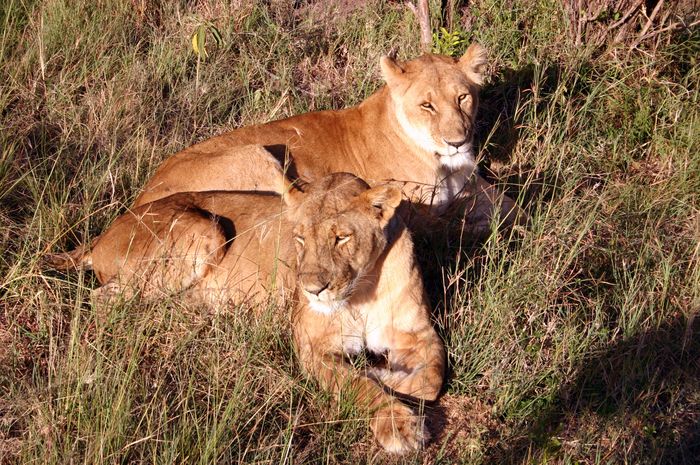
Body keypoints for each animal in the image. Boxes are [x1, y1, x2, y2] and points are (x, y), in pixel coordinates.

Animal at [45, 171, 442, 454]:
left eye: (341, 238)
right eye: (299, 238)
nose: (312, 289)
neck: (361, 290)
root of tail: (101, 236)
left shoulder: (418, 332)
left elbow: (433, 378)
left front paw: (390, 377)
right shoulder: (310, 345)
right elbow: (355, 385)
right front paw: (396, 421)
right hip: (204, 228)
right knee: (105, 300)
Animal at [133, 44, 524, 236]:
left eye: (463, 98)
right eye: (426, 105)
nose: (457, 141)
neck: (443, 163)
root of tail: (140, 200)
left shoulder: (472, 184)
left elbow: (511, 206)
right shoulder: (417, 212)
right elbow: (461, 226)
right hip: (256, 155)